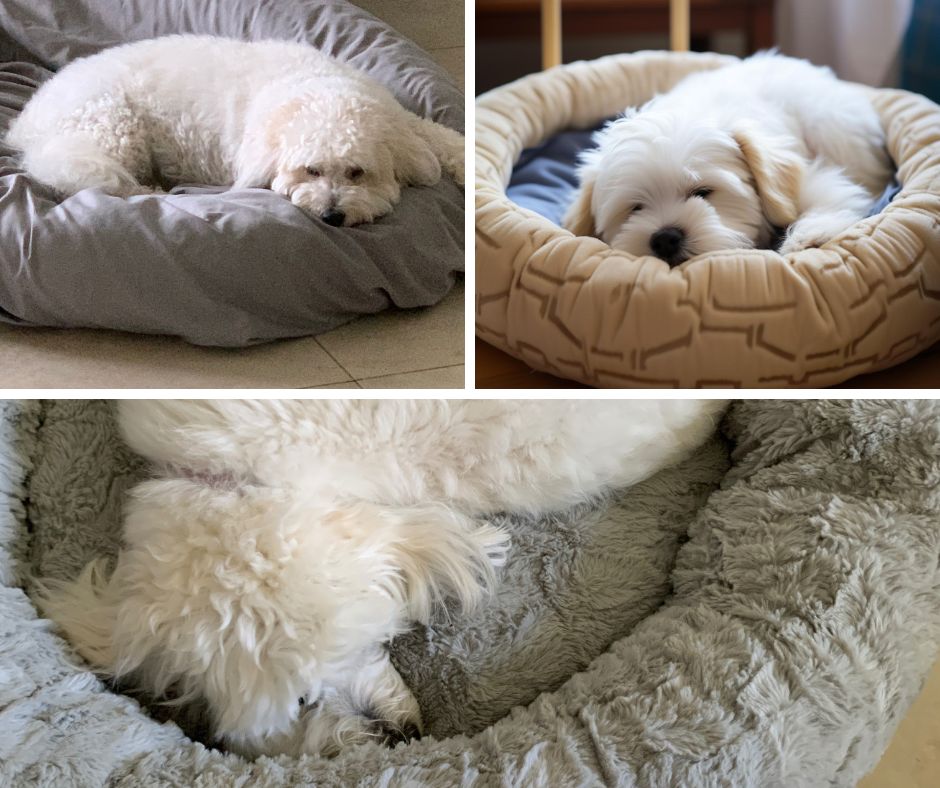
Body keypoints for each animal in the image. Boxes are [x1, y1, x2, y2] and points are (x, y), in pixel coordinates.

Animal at [5, 35, 464, 226]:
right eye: (311, 170)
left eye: (357, 173)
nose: (332, 216)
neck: (318, 86)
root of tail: (25, 123)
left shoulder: (400, 119)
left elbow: (437, 136)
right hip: (109, 130)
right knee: (100, 181)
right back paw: (149, 190)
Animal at [560, 55, 892, 266]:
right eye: (635, 208)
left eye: (703, 192)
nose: (665, 238)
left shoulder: (808, 177)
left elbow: (833, 193)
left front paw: (810, 236)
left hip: (830, 128)